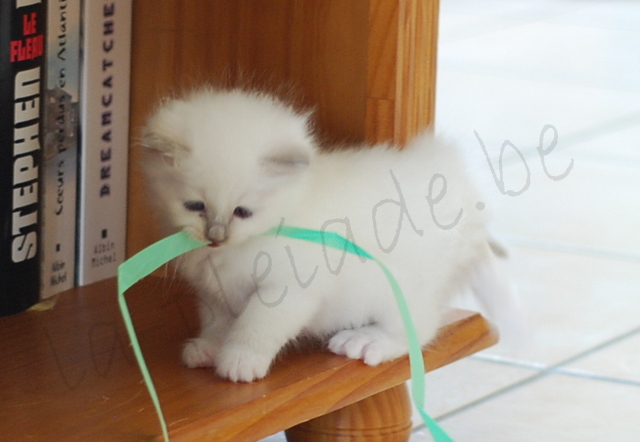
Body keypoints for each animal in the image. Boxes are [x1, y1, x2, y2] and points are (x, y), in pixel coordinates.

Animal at [142, 87, 508, 384]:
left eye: (242, 212)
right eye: (195, 206)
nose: (215, 235)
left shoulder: (287, 291)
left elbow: (255, 327)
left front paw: (239, 361)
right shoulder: (214, 293)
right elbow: (218, 323)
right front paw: (208, 348)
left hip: (399, 288)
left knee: (419, 326)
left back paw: (365, 342)